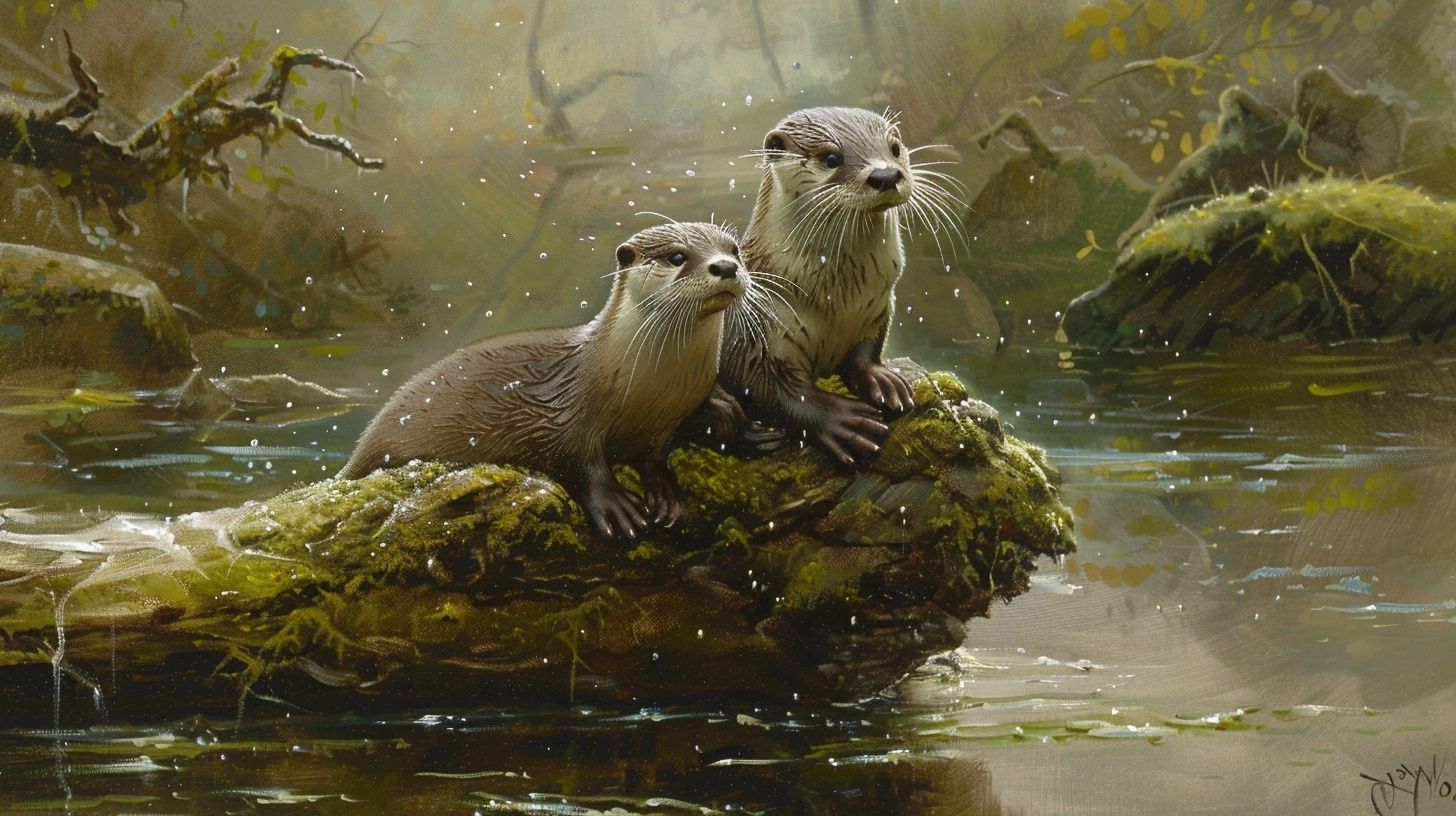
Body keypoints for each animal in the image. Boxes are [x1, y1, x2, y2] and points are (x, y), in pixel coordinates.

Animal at [339, 222, 755, 539]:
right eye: (677, 257)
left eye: (733, 249)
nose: (725, 266)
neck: (652, 388)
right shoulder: (565, 414)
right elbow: (575, 458)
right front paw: (615, 505)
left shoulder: (670, 418)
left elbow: (656, 456)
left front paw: (665, 491)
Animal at [716, 107, 952, 465]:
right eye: (830, 158)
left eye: (894, 148)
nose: (886, 175)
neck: (836, 302)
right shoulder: (755, 334)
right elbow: (768, 388)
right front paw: (843, 422)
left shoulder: (879, 306)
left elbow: (866, 352)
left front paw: (883, 380)